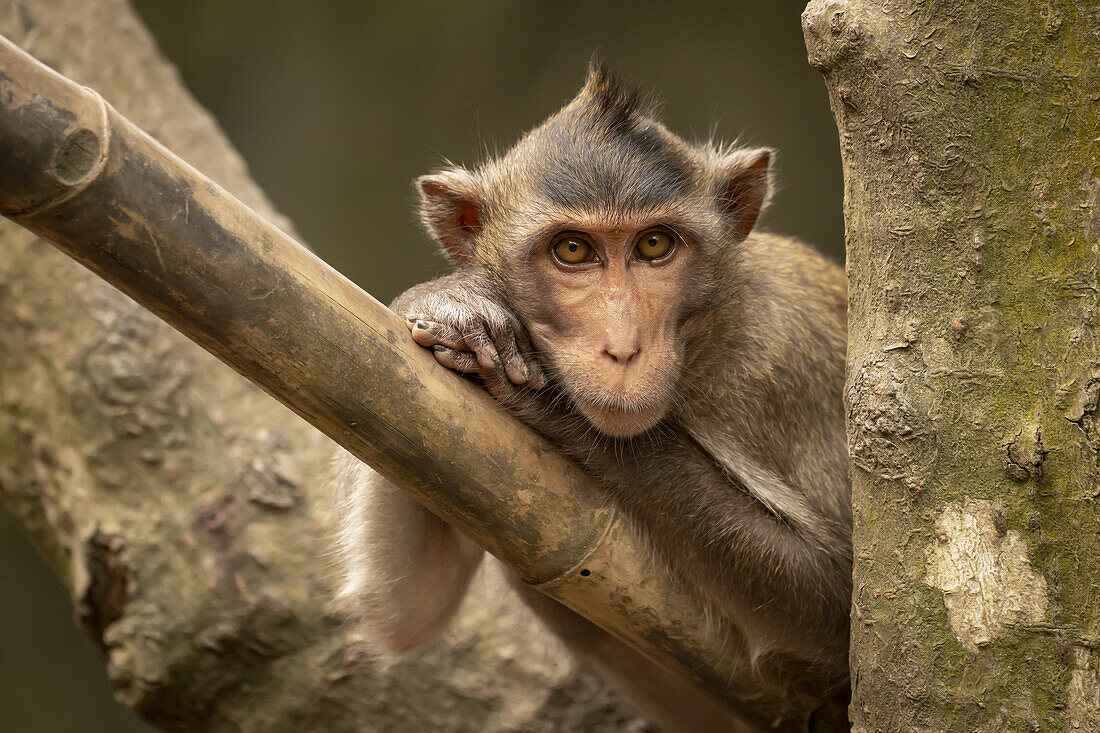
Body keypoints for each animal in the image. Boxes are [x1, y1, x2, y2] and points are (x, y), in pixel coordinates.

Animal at [332, 59, 849, 726]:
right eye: (573, 250)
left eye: (654, 245)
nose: (623, 347)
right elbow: (405, 608)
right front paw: (444, 301)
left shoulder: (779, 364)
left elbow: (838, 603)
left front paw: (547, 402)